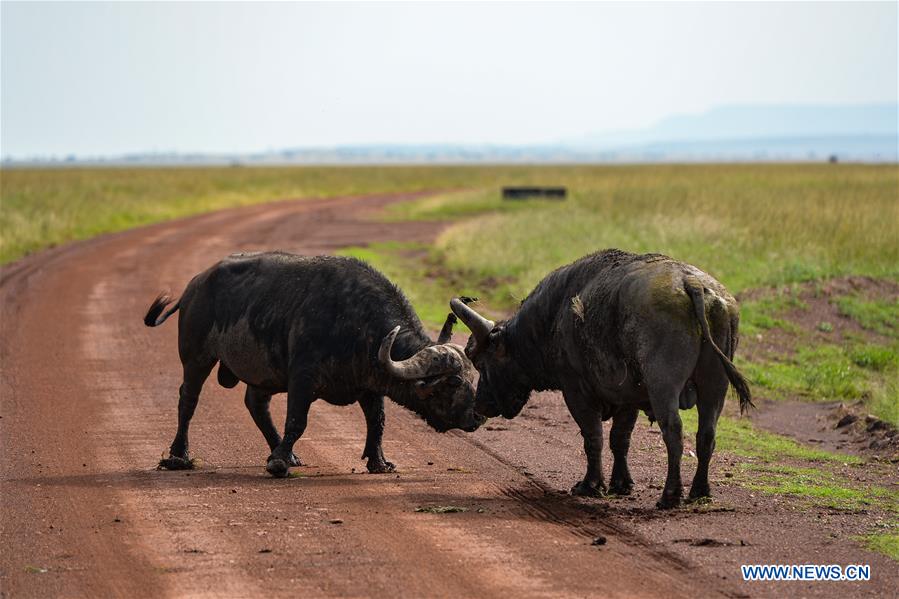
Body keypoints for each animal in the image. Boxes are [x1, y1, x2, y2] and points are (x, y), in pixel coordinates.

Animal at [144, 252, 486, 478]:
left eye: (473, 376)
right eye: (453, 382)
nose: (478, 416)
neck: (357, 323)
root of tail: (194, 287)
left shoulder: (370, 383)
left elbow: (377, 421)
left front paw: (379, 462)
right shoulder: (302, 379)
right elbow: (297, 420)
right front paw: (278, 464)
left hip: (262, 373)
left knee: (255, 403)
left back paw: (284, 451)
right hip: (196, 358)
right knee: (188, 400)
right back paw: (178, 456)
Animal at [450, 251, 752, 508]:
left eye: (480, 362)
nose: (481, 405)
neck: (552, 317)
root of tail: (691, 283)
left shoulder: (575, 392)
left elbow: (592, 436)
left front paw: (591, 484)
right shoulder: (629, 398)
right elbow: (620, 439)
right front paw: (621, 483)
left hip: (663, 385)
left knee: (673, 432)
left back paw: (670, 495)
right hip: (715, 385)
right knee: (706, 434)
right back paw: (699, 491)